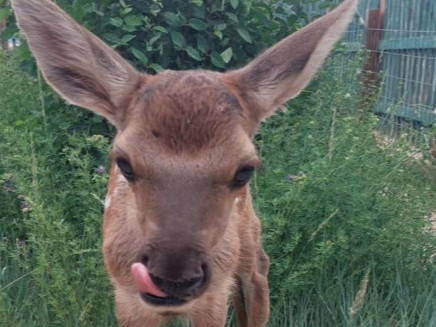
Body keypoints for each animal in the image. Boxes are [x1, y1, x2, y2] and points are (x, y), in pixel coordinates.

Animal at [11, 1, 358, 326]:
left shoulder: (214, 294)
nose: (173, 277)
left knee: (258, 275)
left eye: (245, 170)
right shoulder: (127, 297)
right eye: (124, 163)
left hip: (247, 251)